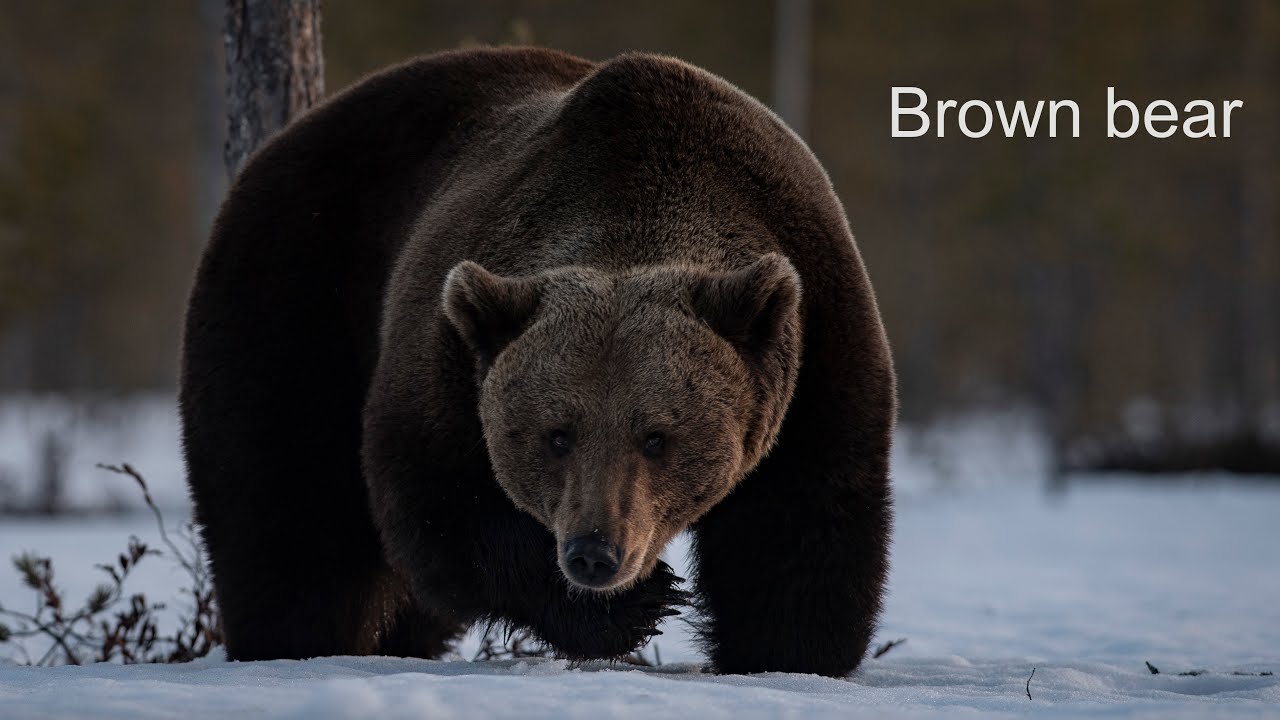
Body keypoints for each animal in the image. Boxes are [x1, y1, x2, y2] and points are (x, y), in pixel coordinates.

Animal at [180, 46, 895, 677]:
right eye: (557, 435)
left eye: (657, 436)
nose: (594, 554)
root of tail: (283, 140)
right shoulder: (449, 350)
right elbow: (435, 507)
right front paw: (635, 606)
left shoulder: (816, 346)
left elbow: (801, 531)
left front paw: (787, 660)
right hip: (298, 290)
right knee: (289, 507)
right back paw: (293, 646)